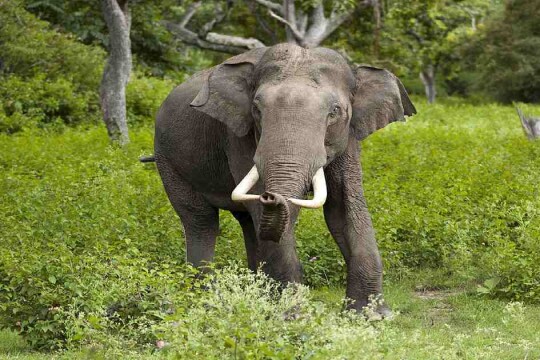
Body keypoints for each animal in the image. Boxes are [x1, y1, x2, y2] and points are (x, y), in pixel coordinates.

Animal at [152, 44, 418, 316]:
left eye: (335, 112)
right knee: (202, 221)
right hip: (168, 160)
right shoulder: (238, 136)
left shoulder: (349, 137)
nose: (271, 196)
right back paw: (205, 301)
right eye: (257, 110)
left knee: (248, 224)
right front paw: (292, 315)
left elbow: (343, 210)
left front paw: (372, 316)